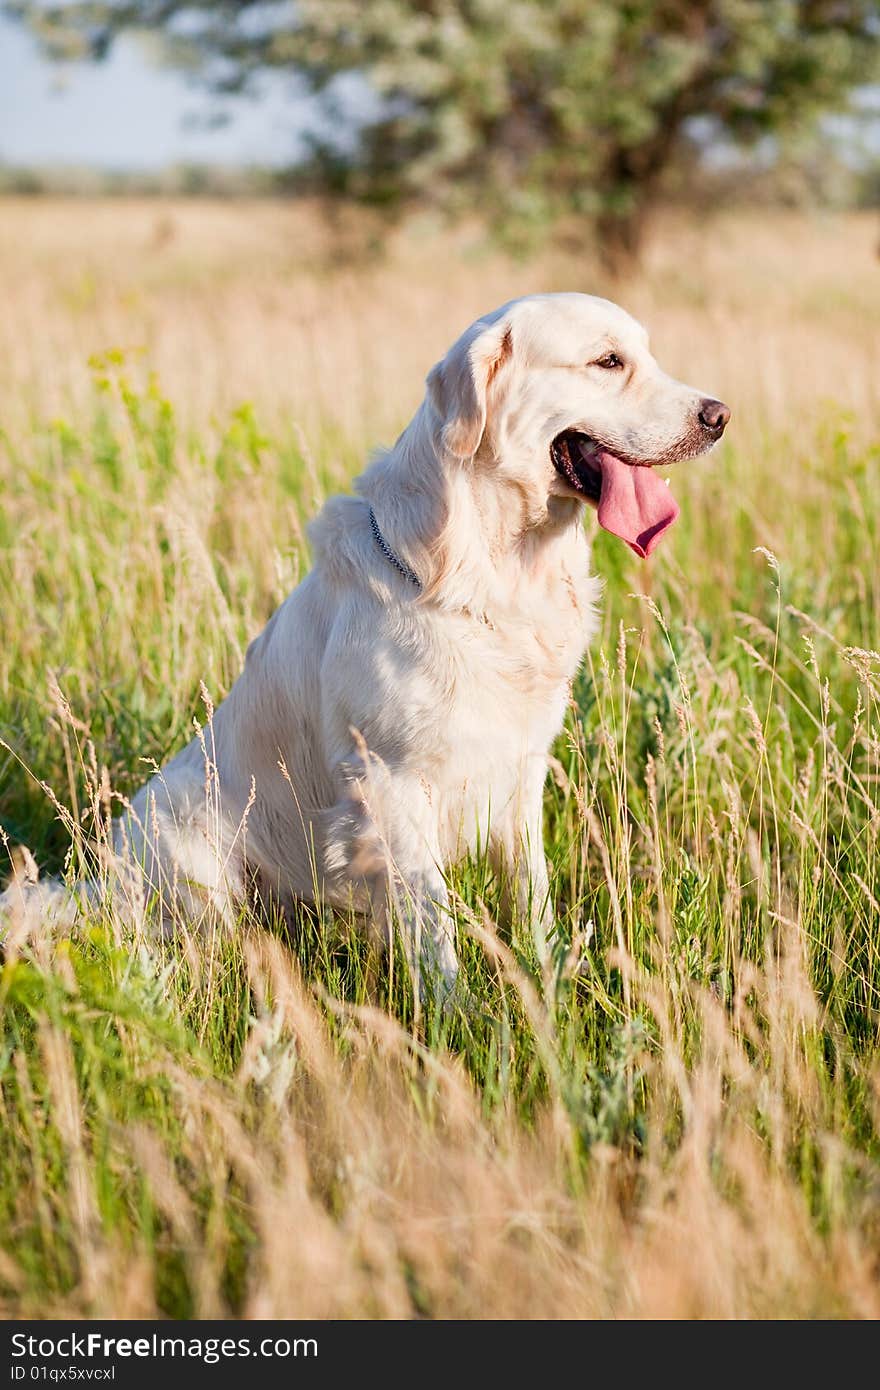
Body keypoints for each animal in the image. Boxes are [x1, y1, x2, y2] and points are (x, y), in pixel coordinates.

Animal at [0, 293, 728, 995]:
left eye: (645, 354)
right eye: (608, 361)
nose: (720, 415)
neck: (487, 571)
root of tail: (100, 886)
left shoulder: (520, 771)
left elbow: (533, 897)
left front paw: (549, 982)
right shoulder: (391, 782)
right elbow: (433, 925)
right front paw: (452, 1017)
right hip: (187, 830)